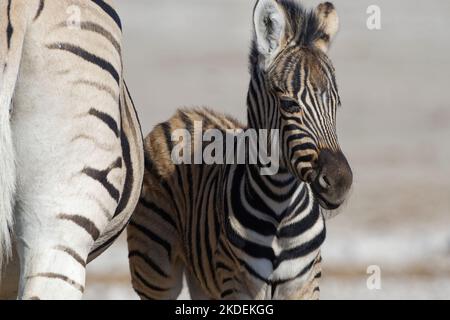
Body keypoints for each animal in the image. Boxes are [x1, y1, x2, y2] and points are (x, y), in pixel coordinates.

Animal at [126, 0, 352, 300]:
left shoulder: (304, 284)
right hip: (155, 268)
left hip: (202, 280)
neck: (281, 207)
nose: (340, 182)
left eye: (336, 105)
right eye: (289, 105)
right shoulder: (238, 283)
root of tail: (184, 114)